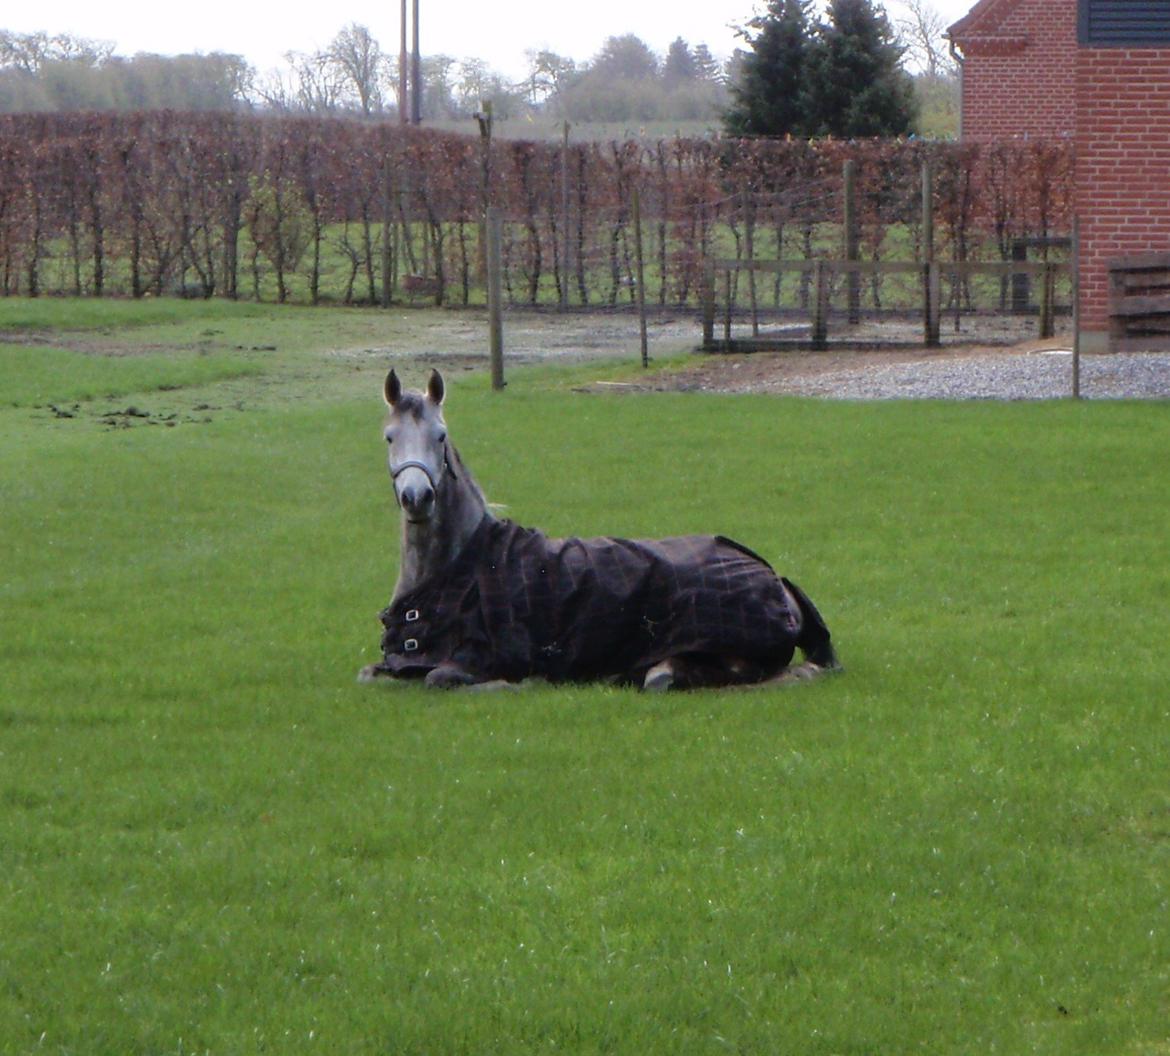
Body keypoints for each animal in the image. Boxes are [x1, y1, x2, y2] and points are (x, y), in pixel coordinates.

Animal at [358, 371, 842, 692]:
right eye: (388, 437)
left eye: (440, 436)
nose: (417, 497)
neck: (460, 571)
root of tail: (776, 578)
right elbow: (370, 674)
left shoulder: (478, 659)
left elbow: (440, 677)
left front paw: (518, 684)